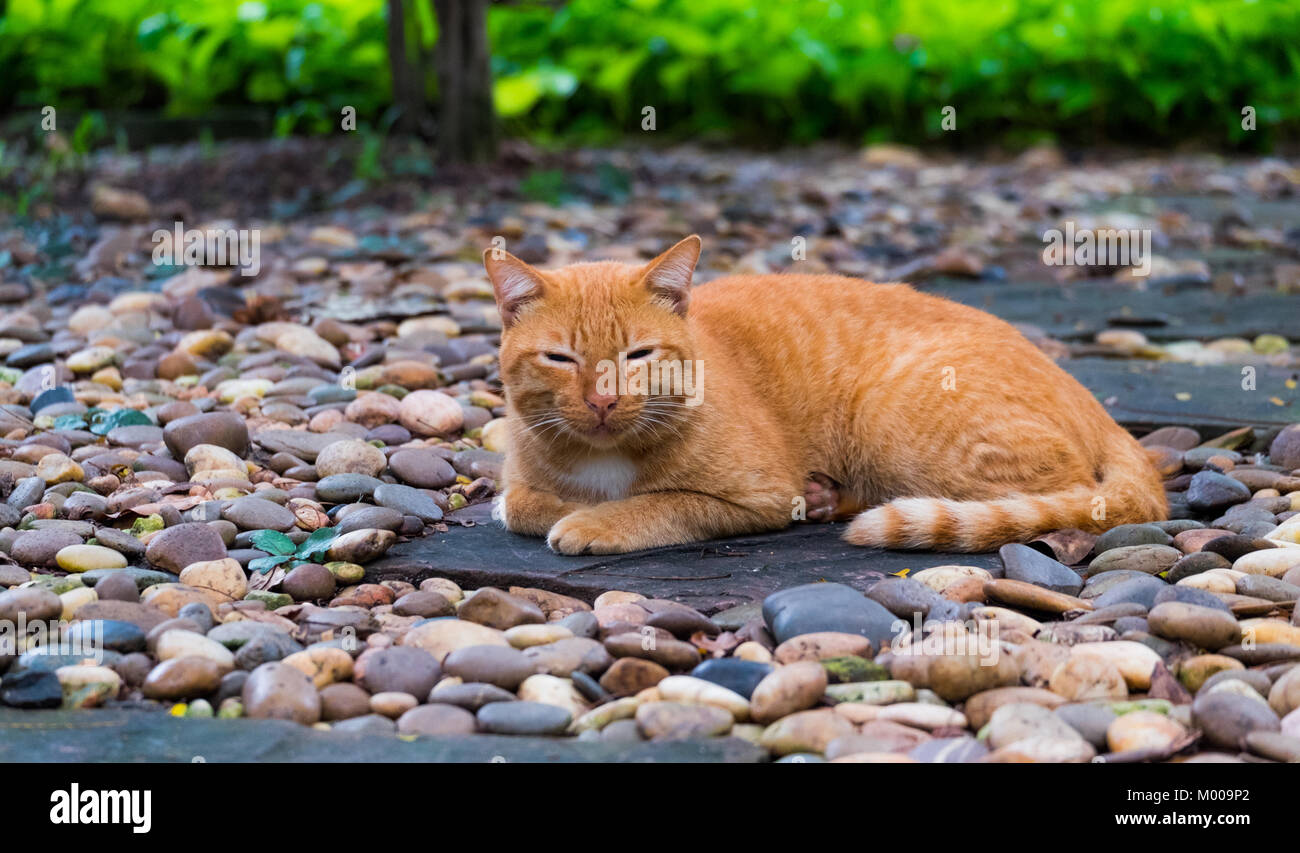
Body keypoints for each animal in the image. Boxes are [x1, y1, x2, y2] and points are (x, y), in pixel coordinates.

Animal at [480, 235, 1170, 553]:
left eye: (638, 356)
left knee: (1063, 492)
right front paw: (568, 506)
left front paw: (593, 520)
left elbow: (661, 504)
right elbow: (520, 503)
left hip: (892, 415)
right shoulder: (519, 479)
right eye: (561, 359)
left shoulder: (757, 496)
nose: (602, 402)